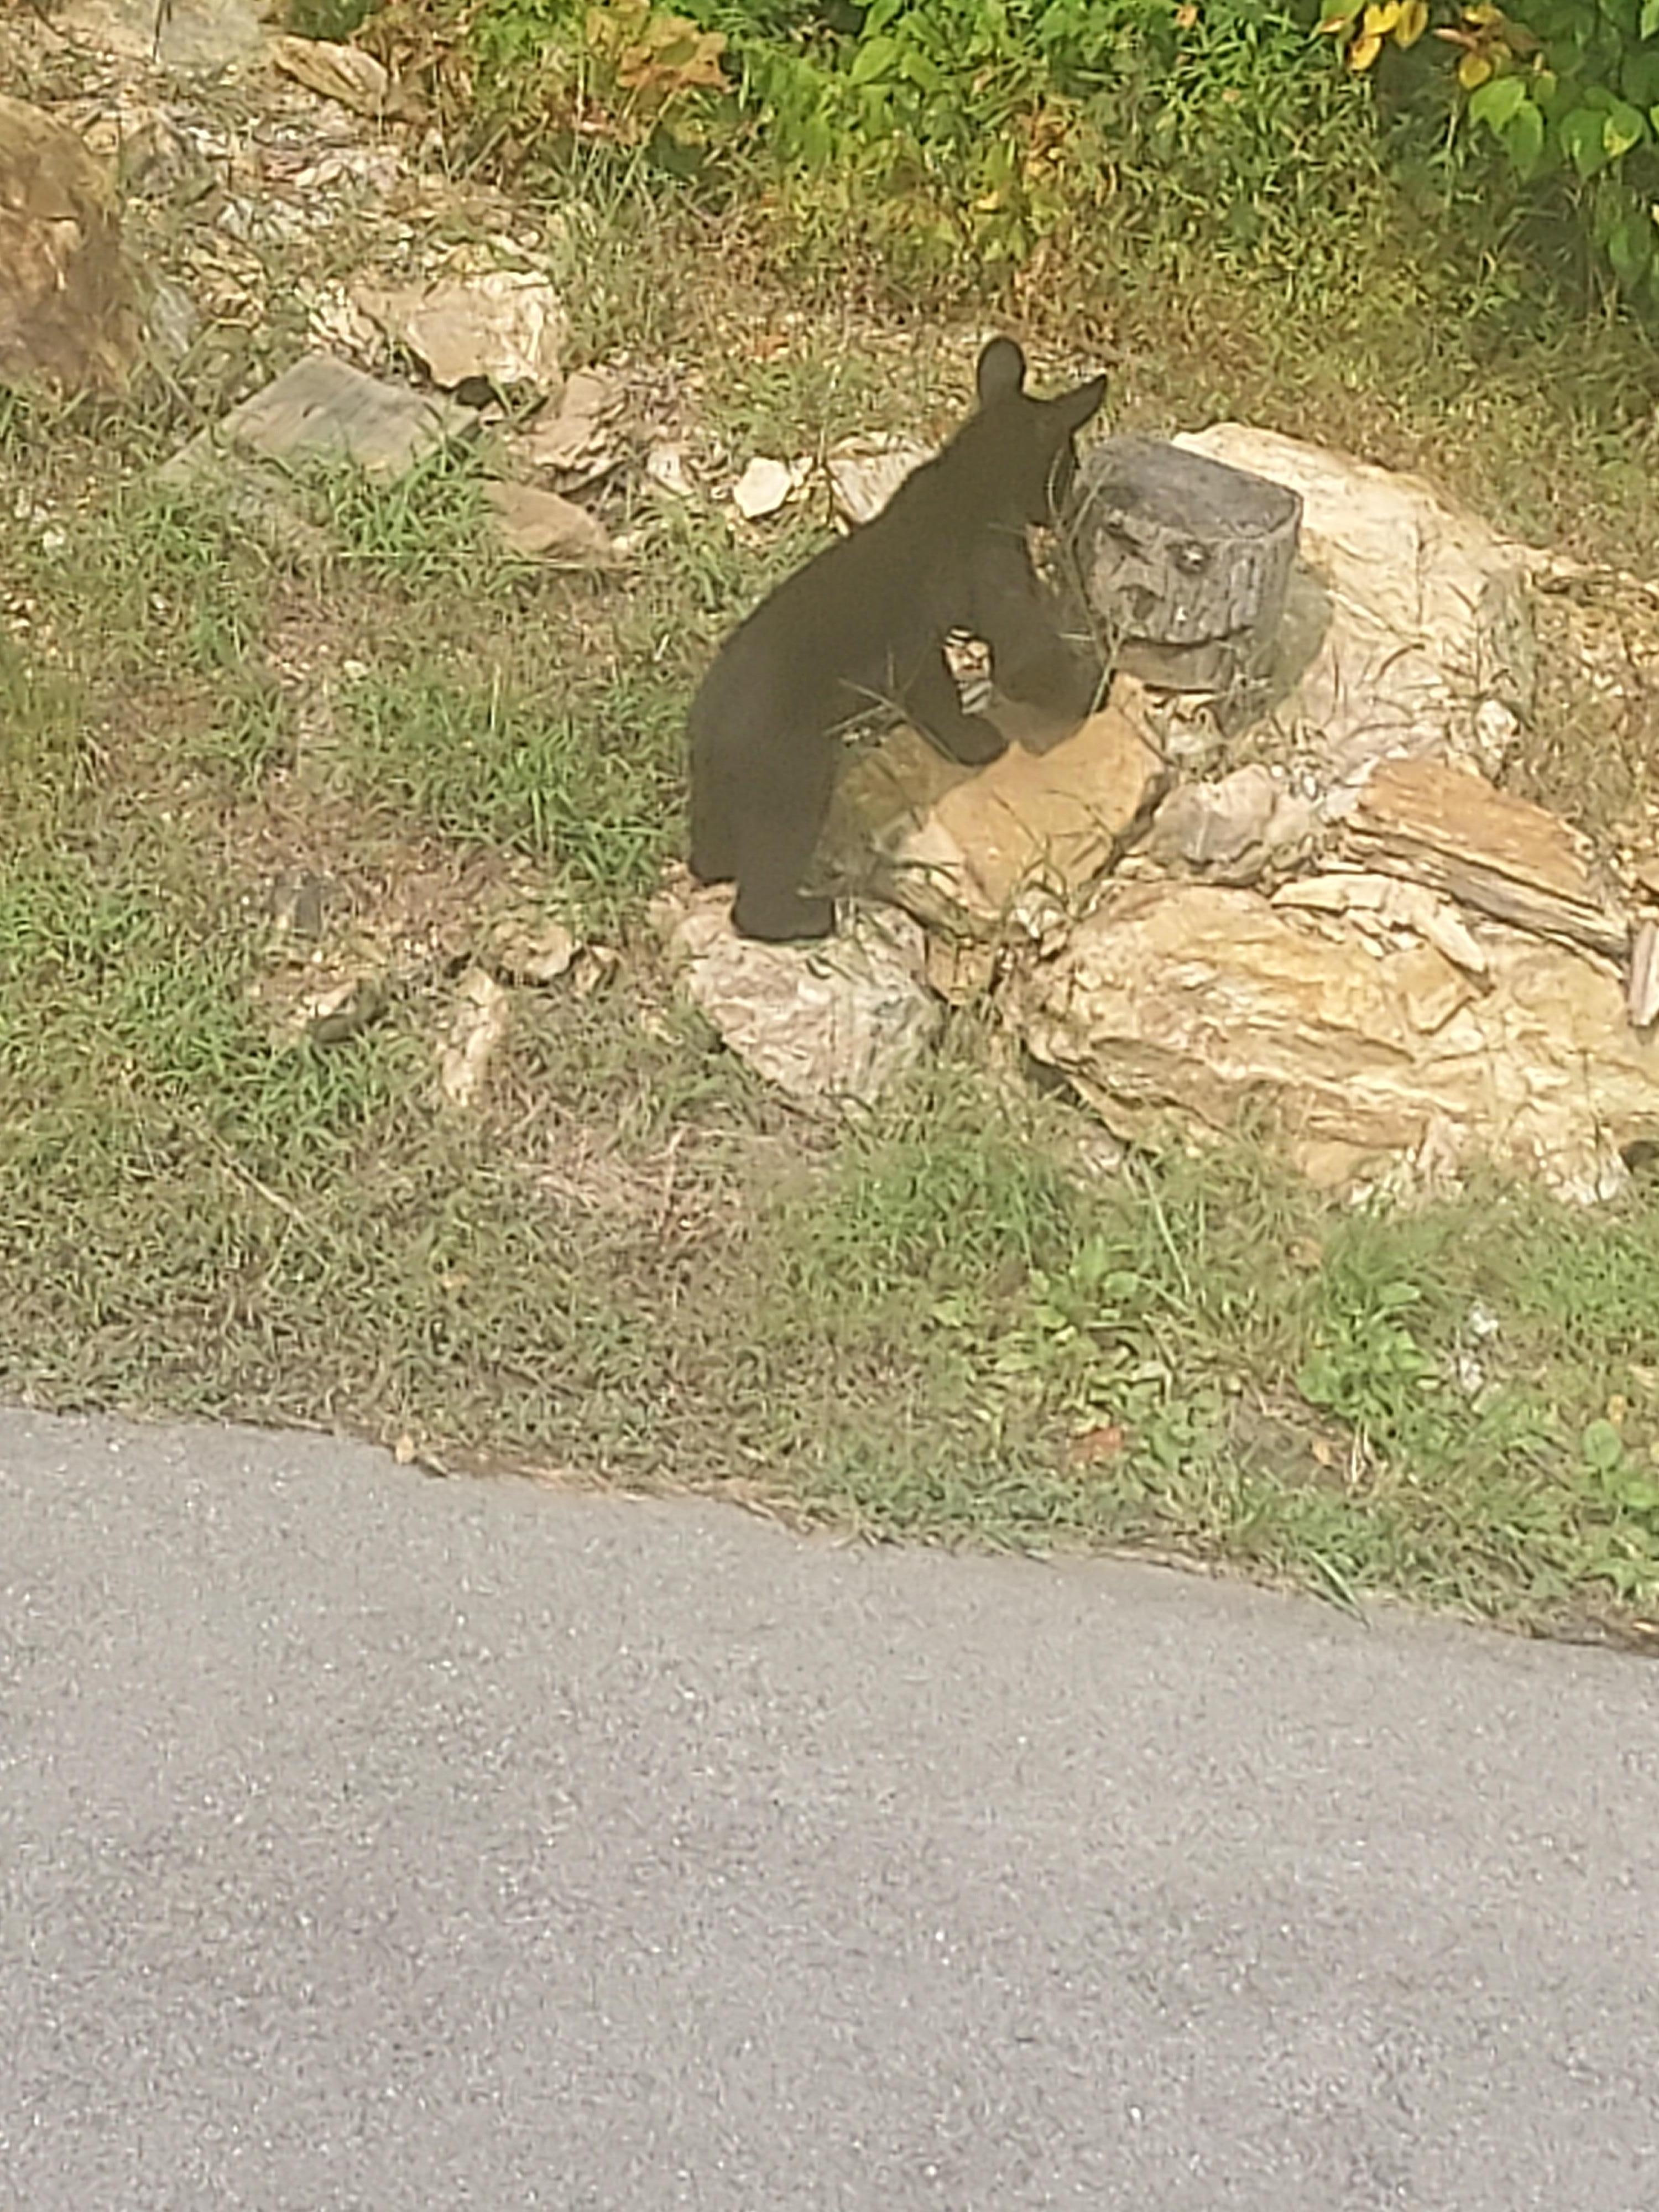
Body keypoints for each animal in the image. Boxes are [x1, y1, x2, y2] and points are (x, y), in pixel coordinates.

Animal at [686, 336, 1109, 943]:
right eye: (1068, 466)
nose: (1064, 506)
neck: (971, 476)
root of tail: (705, 731)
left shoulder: (917, 652)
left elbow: (936, 696)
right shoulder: (993, 570)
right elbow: (1027, 659)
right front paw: (1093, 687)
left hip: (722, 797)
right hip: (792, 779)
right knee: (762, 888)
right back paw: (810, 916)